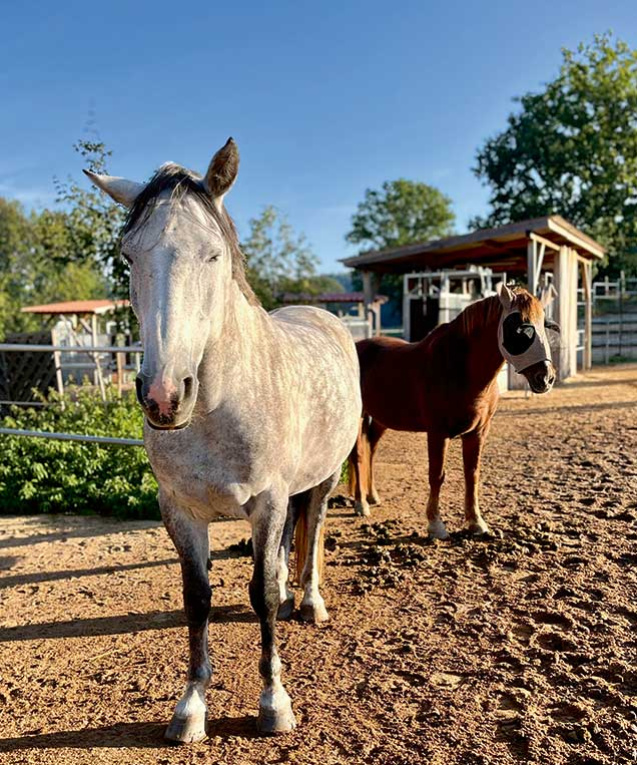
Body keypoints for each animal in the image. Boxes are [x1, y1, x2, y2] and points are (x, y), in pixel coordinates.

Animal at [86, 139, 360, 740]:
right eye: (128, 256)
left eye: (213, 255)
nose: (164, 396)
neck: (216, 409)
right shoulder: (180, 509)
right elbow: (198, 599)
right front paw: (190, 708)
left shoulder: (267, 501)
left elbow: (261, 593)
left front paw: (274, 703)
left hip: (325, 478)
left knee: (312, 532)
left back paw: (310, 602)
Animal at [348, 280, 556, 536]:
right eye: (520, 328)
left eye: (545, 326)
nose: (546, 378)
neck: (459, 368)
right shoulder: (438, 433)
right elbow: (437, 475)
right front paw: (436, 525)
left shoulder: (478, 433)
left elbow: (472, 474)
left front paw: (476, 522)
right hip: (358, 417)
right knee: (358, 455)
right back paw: (361, 503)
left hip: (380, 419)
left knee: (371, 449)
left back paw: (372, 496)